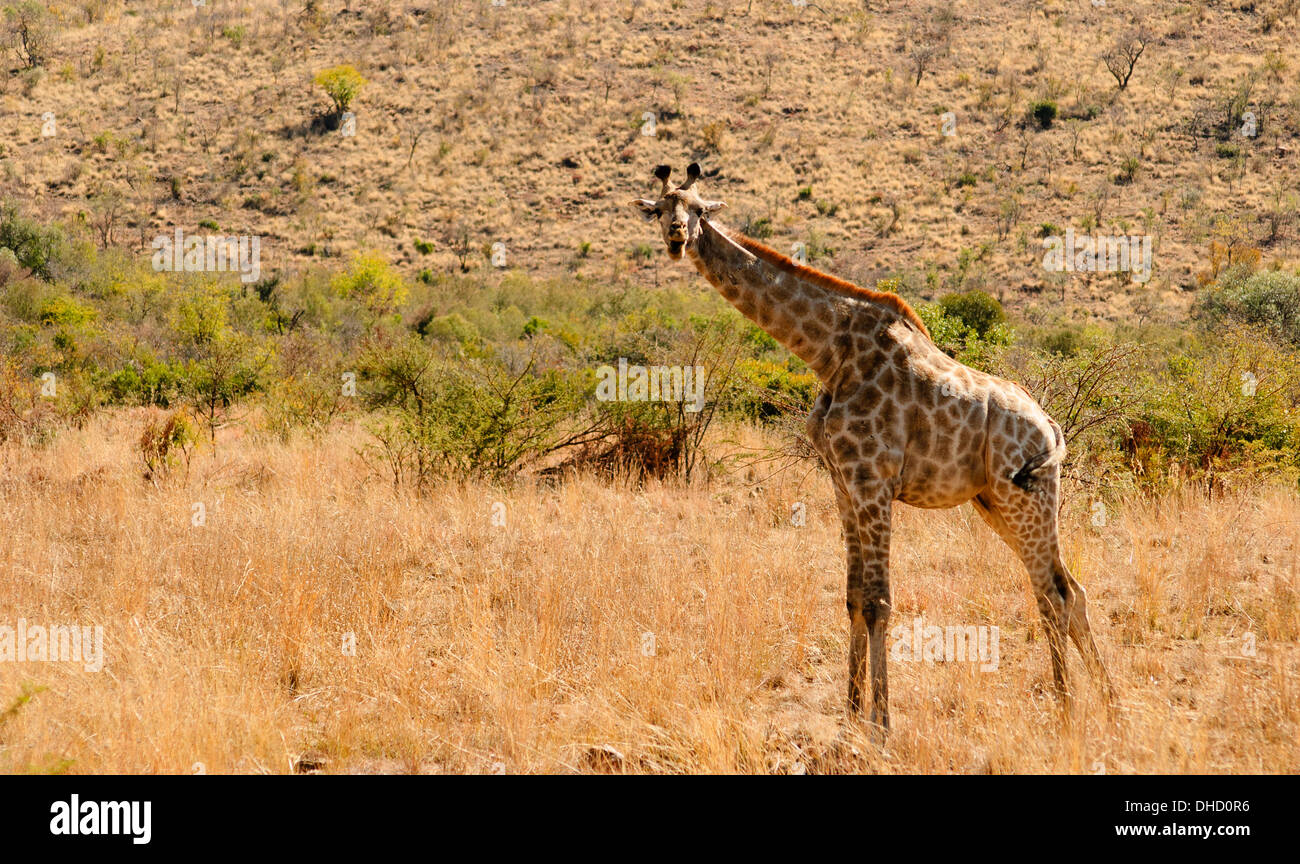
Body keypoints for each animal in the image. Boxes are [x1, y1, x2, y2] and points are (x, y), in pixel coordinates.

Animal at [629, 163, 1107, 727]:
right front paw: (853, 713)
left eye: (700, 210)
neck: (827, 352)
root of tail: (1050, 424)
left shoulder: (873, 481)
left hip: (1024, 496)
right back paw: (1104, 705)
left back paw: (1072, 708)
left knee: (1056, 590)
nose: (677, 237)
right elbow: (854, 597)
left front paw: (880, 725)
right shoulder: (842, 483)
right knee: (1064, 588)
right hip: (996, 501)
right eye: (660, 210)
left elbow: (879, 601)